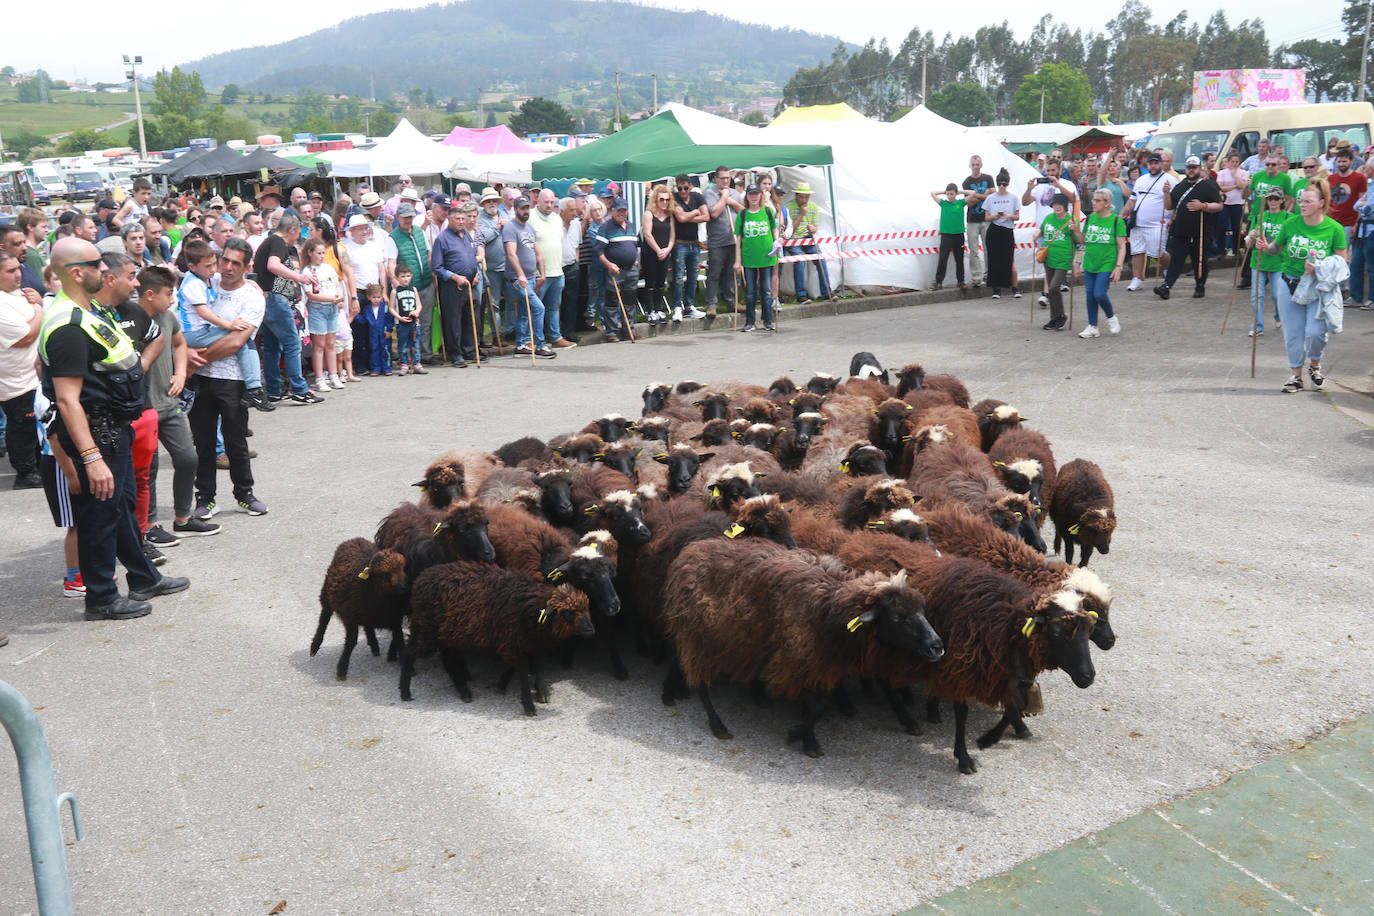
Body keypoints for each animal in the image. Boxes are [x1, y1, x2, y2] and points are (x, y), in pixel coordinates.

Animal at [313, 538, 409, 681]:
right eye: (384, 574)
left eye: (404, 568)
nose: (405, 588)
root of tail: (354, 539)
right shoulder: (350, 617)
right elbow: (351, 642)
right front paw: (341, 670)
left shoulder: (395, 619)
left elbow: (400, 640)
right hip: (327, 594)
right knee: (324, 618)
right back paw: (314, 646)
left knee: (367, 626)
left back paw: (374, 644)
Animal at [398, 560, 590, 714]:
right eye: (568, 612)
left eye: (586, 609)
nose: (591, 629)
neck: (529, 607)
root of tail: (419, 580)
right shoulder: (513, 641)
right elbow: (522, 671)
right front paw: (528, 706)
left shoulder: (518, 642)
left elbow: (517, 667)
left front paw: (502, 684)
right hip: (426, 628)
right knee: (409, 652)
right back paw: (405, 692)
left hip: (448, 632)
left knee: (447, 658)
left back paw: (464, 692)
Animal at [656, 538, 939, 758]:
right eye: (898, 617)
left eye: (923, 609)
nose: (937, 646)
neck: (830, 605)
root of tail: (687, 553)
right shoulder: (795, 658)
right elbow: (818, 707)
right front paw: (801, 737)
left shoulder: (817, 662)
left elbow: (820, 705)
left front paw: (802, 733)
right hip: (700, 637)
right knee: (700, 683)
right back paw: (718, 726)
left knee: (677, 660)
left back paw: (669, 692)